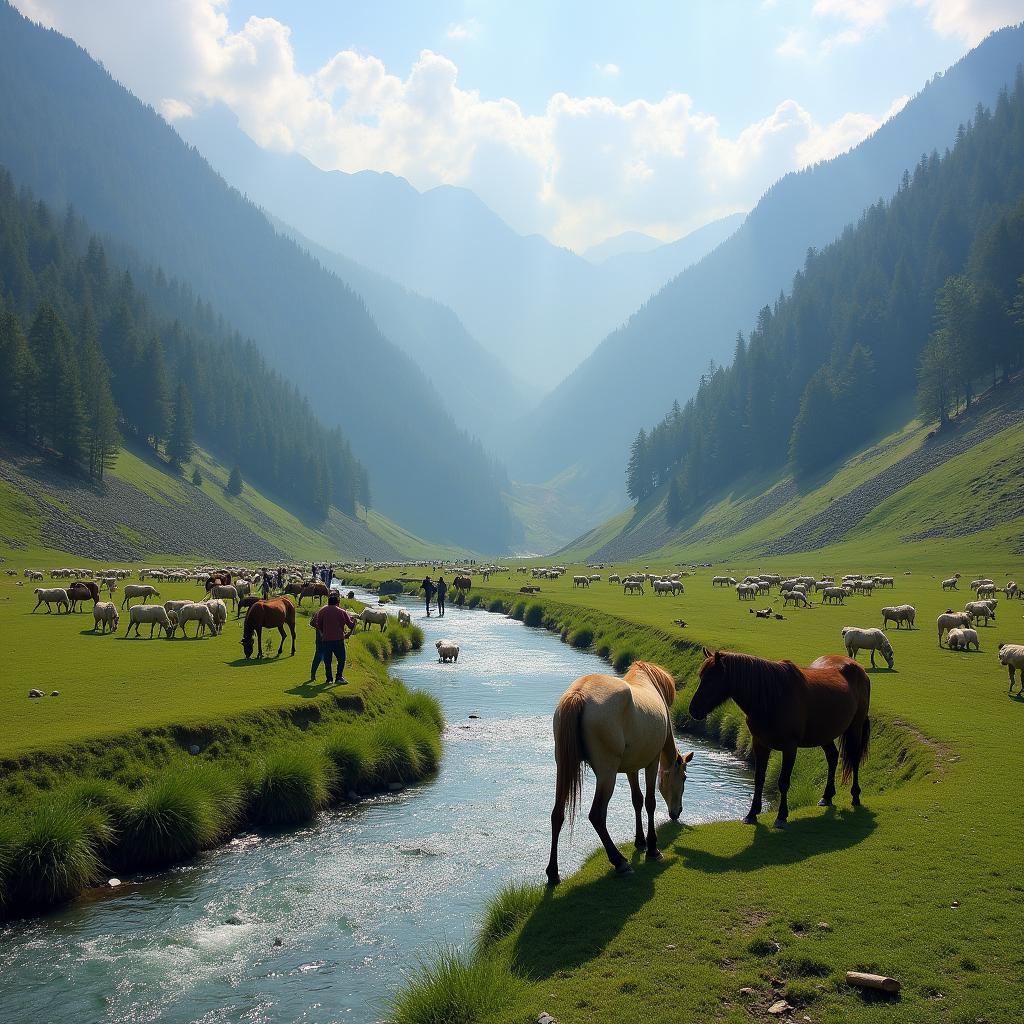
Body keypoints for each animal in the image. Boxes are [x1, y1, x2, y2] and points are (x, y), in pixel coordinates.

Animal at [544, 659, 696, 884]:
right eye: (684, 778)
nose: (677, 812)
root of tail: (578, 694)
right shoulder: (651, 763)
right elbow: (650, 802)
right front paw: (652, 848)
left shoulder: (631, 768)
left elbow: (637, 800)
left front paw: (640, 841)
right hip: (607, 774)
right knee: (597, 815)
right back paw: (619, 862)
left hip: (563, 767)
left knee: (557, 815)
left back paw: (553, 872)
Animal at [692, 647, 868, 831]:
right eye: (701, 677)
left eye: (711, 679)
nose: (693, 709)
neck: (772, 698)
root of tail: (857, 667)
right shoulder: (760, 744)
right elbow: (759, 779)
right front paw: (752, 813)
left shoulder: (790, 748)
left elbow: (783, 782)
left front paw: (781, 816)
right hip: (825, 734)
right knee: (832, 757)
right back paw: (827, 796)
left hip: (856, 726)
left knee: (854, 758)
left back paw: (855, 795)